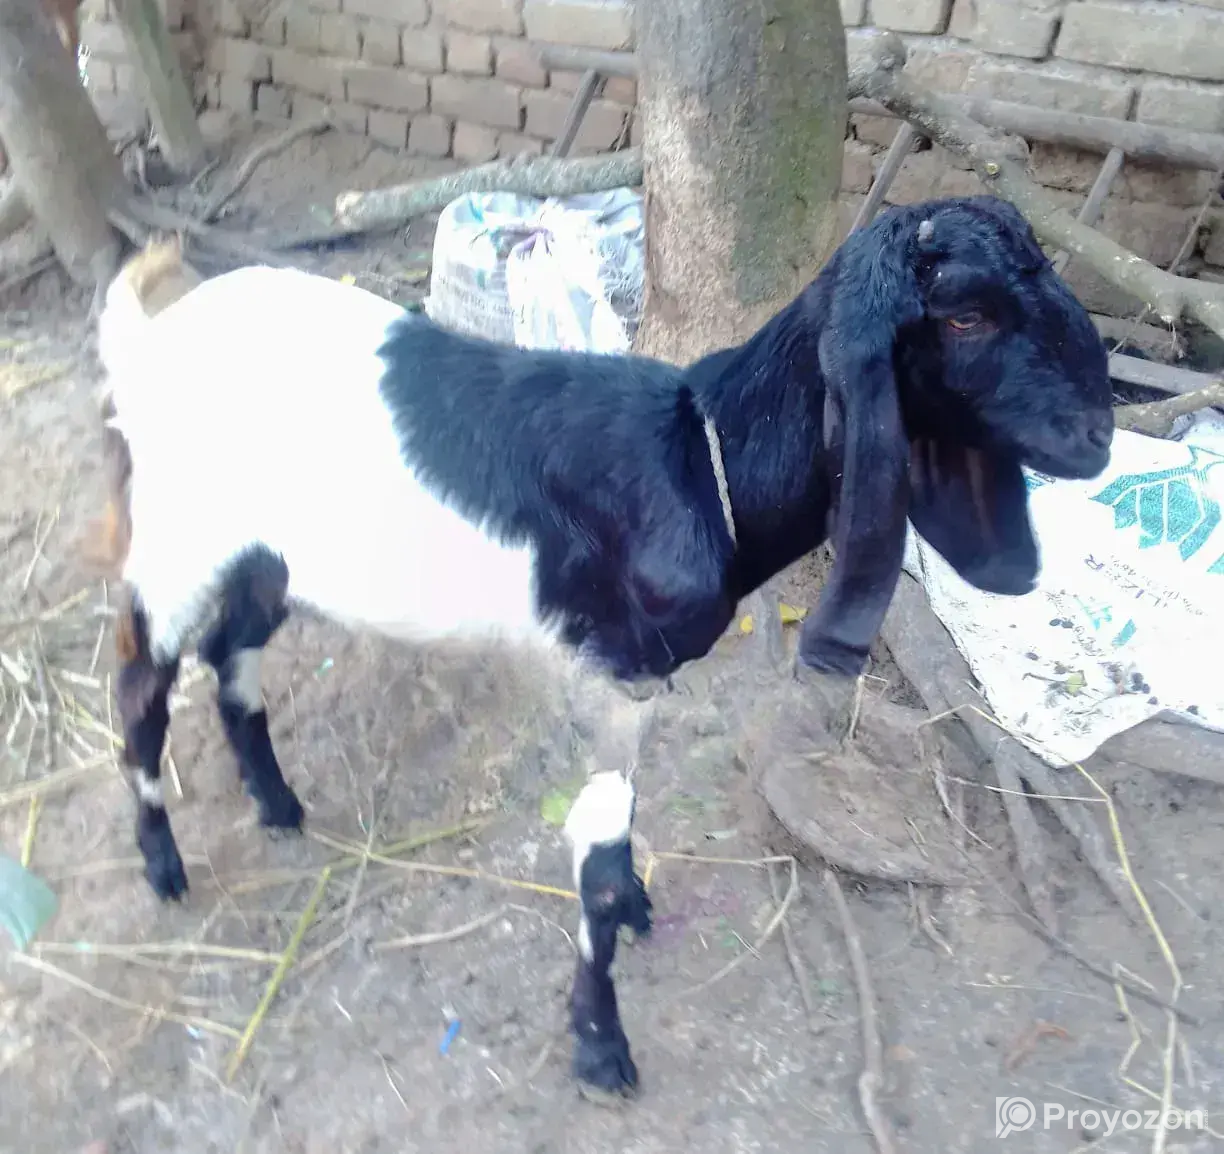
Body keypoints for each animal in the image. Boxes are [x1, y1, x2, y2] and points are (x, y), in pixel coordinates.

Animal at [93, 195, 1113, 1097]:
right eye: (967, 314)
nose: (1098, 437)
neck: (699, 462)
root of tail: (153, 336)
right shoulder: (603, 677)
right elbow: (593, 862)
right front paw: (600, 1045)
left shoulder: (639, 687)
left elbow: (619, 842)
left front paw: (637, 915)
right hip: (175, 540)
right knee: (143, 686)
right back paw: (164, 866)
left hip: (277, 557)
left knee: (232, 655)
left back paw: (276, 804)